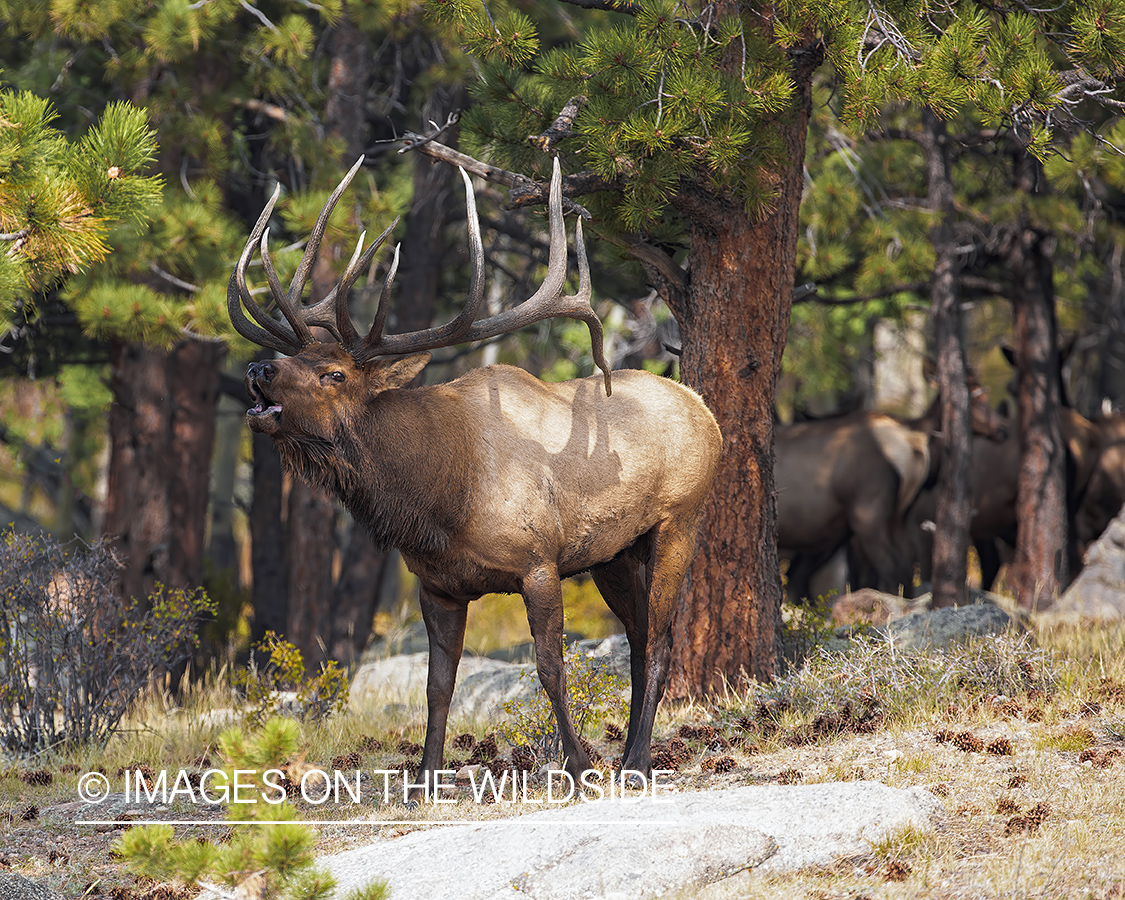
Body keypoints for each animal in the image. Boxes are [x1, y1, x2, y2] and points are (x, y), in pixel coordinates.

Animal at [229, 159, 724, 796]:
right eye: (295, 359)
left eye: (334, 373)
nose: (258, 368)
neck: (440, 498)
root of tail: (706, 411)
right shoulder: (436, 585)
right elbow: (438, 685)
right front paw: (424, 781)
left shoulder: (539, 563)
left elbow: (550, 668)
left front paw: (578, 765)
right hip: (614, 553)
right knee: (638, 641)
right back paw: (627, 757)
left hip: (677, 523)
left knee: (661, 643)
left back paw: (634, 763)